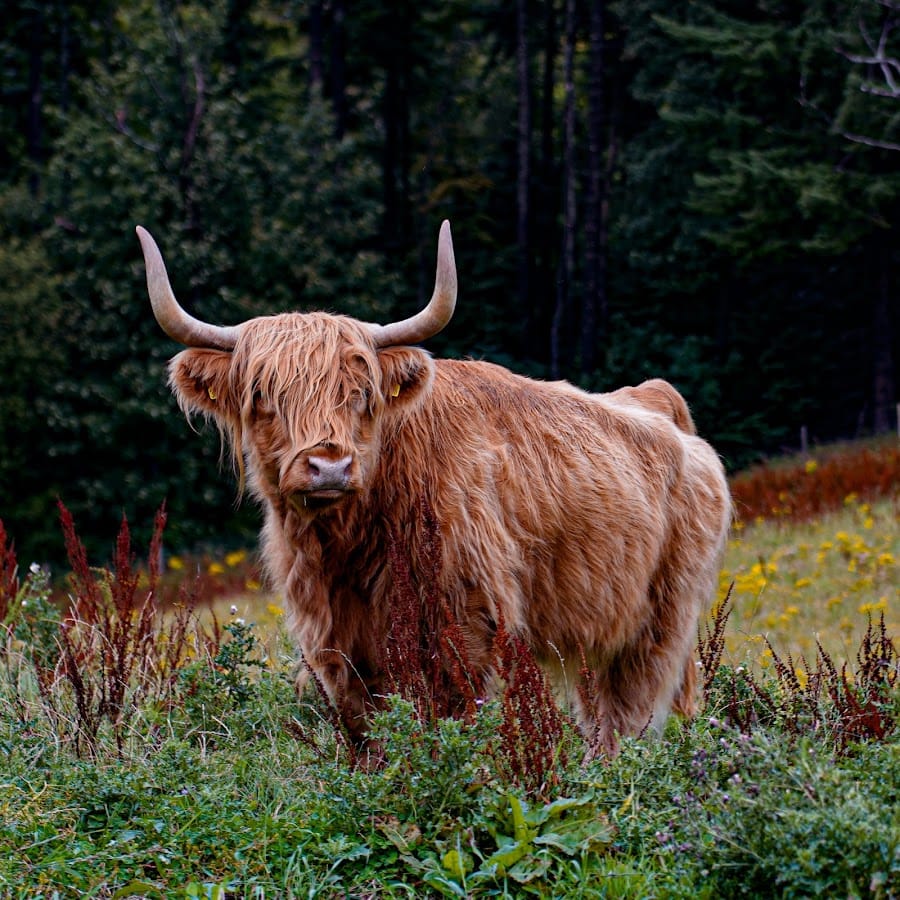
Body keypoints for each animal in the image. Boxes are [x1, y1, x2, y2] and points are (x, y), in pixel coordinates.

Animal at [136, 221, 731, 756]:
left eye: (362, 393)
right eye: (262, 394)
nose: (328, 467)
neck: (348, 544)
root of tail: (657, 400)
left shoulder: (467, 621)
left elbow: (457, 719)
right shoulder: (334, 640)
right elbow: (367, 730)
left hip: (659, 622)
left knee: (629, 717)